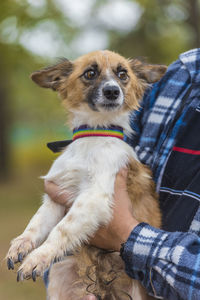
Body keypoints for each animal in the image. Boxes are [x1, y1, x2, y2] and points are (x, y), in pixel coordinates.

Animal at [5, 50, 166, 298]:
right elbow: (37, 222)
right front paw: (22, 243)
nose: (112, 91)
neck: (93, 135)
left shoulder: (94, 197)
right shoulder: (56, 196)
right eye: (90, 73)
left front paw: (38, 257)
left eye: (123, 74)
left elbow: (61, 229)